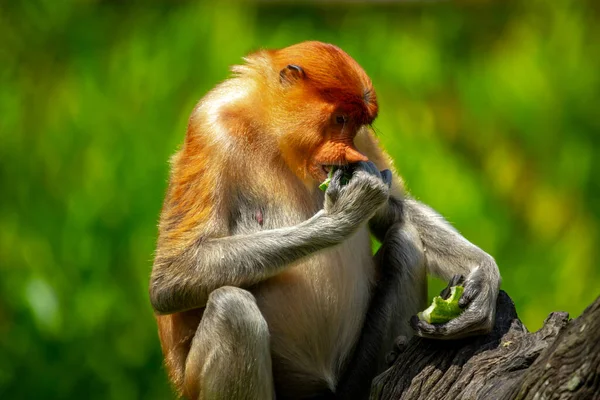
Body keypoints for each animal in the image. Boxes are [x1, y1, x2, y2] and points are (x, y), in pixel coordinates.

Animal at [150, 41, 502, 400]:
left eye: (355, 125)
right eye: (339, 118)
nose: (349, 153)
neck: (273, 134)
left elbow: (394, 208)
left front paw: (484, 276)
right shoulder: (210, 128)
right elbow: (171, 277)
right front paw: (342, 214)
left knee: (406, 243)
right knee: (232, 310)